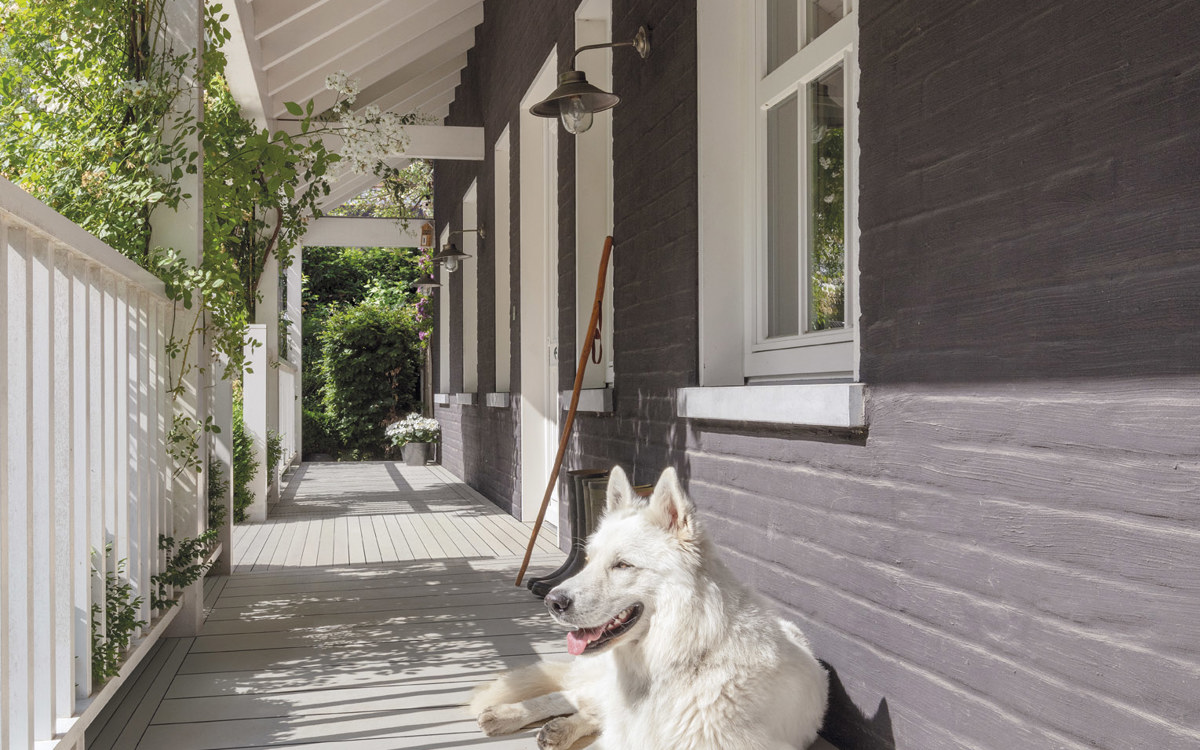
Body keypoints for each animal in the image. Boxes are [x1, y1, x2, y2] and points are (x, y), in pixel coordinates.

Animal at [468, 465, 825, 744]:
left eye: (623, 565)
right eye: (589, 560)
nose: (552, 602)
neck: (683, 656)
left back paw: (559, 729)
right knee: (569, 695)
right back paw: (507, 715)